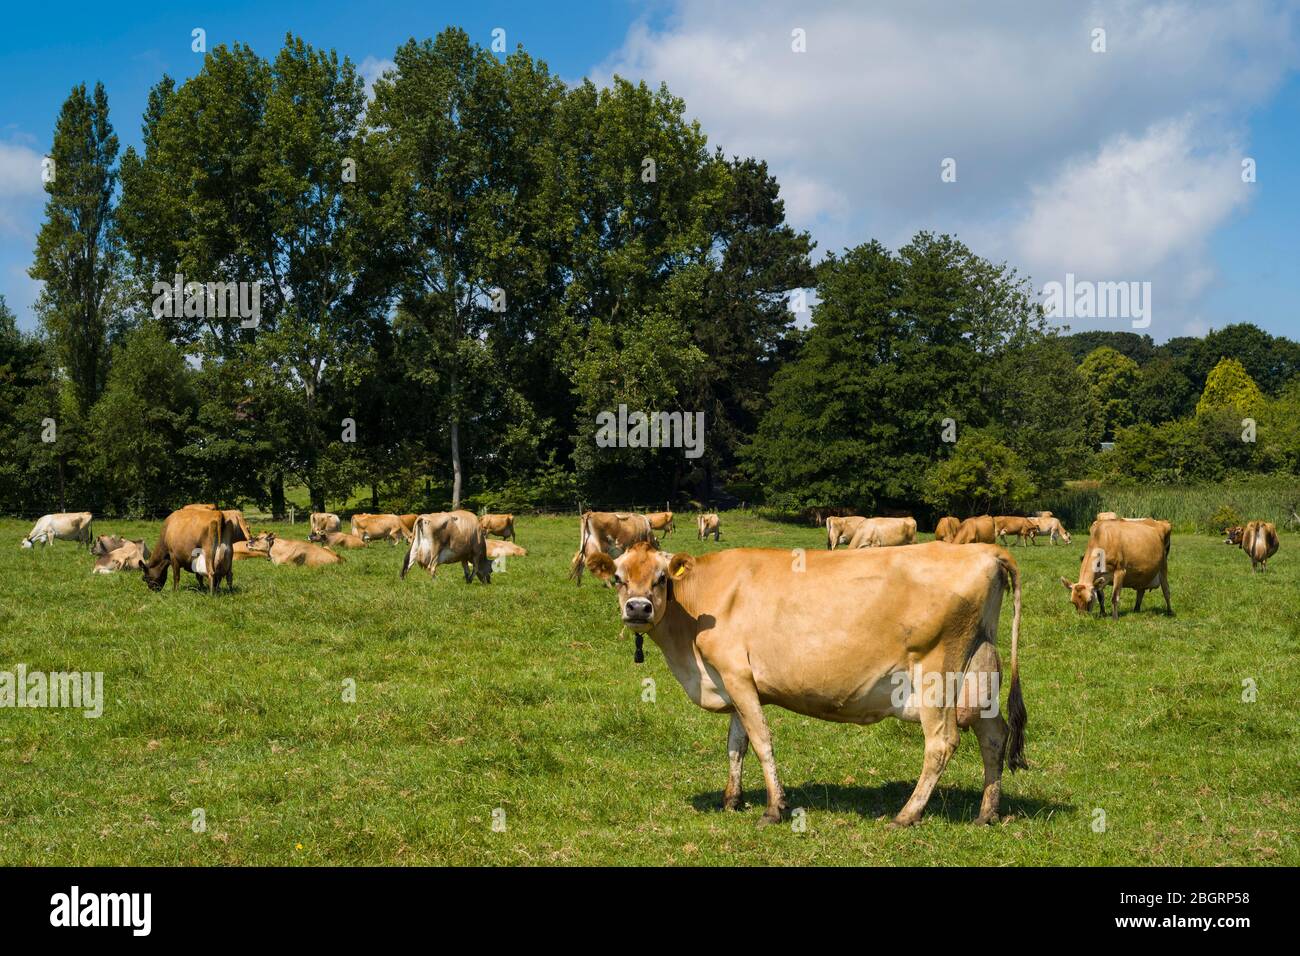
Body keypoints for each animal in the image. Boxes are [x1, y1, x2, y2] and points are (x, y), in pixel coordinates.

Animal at [587, 546, 1024, 832]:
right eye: (618, 579)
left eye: (661, 579)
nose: (638, 608)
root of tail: (983, 549)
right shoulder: (732, 681)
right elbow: (736, 744)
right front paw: (732, 799)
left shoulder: (737, 674)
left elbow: (761, 740)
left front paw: (774, 808)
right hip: (979, 673)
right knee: (993, 735)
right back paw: (987, 813)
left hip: (937, 675)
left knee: (942, 742)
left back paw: (907, 815)